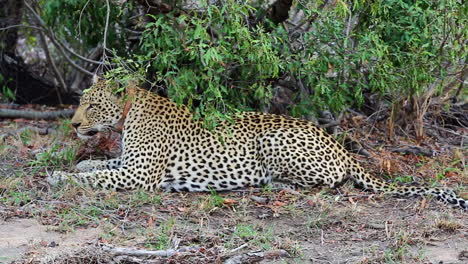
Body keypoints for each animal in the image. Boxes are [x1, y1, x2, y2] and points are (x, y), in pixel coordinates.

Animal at [49, 78, 466, 210]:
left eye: (91, 104)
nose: (74, 124)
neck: (126, 116)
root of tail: (338, 144)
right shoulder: (128, 165)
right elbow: (99, 166)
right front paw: (78, 164)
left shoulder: (138, 176)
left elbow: (96, 178)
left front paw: (60, 177)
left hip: (273, 140)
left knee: (332, 181)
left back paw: (275, 184)